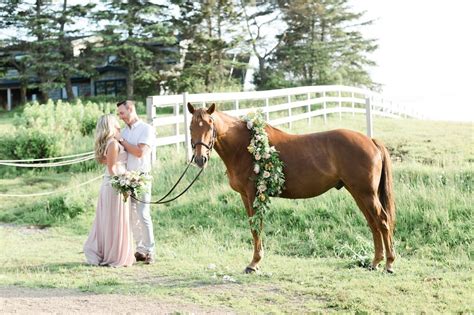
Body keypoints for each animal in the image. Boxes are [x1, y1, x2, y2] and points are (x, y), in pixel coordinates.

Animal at [187, 103, 394, 274]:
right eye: (191, 127)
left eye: (210, 125)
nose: (200, 159)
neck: (244, 146)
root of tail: (371, 140)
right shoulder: (245, 197)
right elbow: (253, 227)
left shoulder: (254, 195)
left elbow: (257, 228)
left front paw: (254, 264)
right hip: (359, 193)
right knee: (373, 223)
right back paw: (375, 262)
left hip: (366, 194)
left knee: (382, 221)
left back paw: (389, 264)